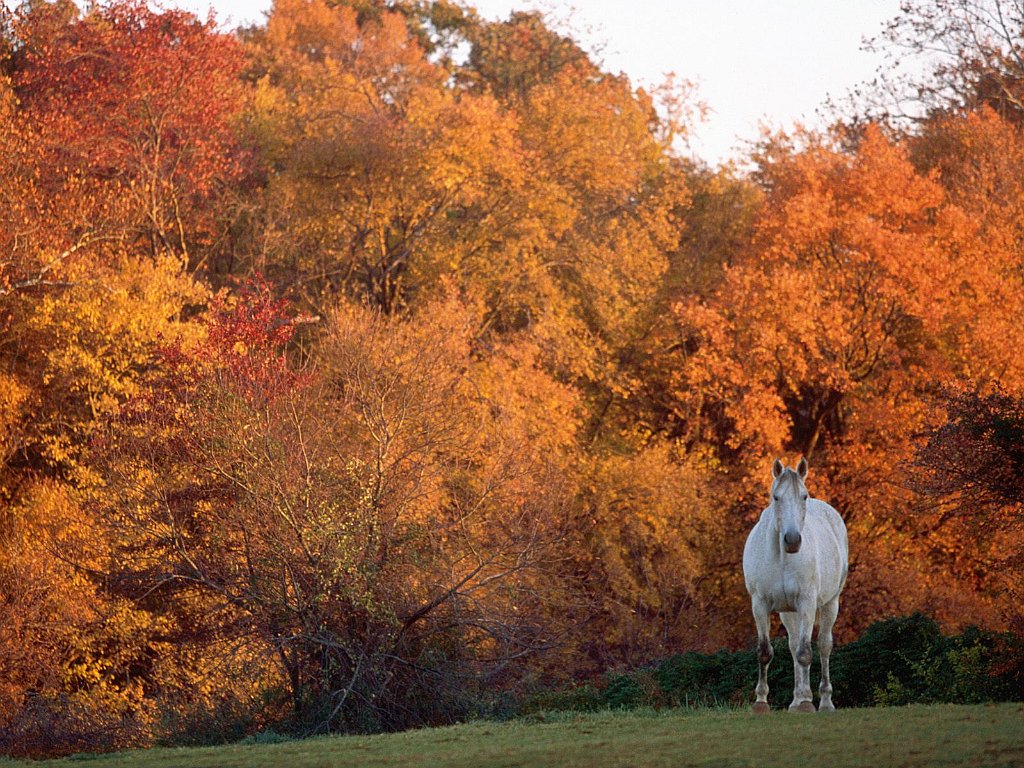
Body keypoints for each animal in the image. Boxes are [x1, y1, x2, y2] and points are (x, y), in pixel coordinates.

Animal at [745, 456, 847, 716]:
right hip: (788, 611)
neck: (782, 556)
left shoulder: (807, 602)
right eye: (776, 497)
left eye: (803, 496)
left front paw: (808, 703)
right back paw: (796, 700)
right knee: (793, 646)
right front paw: (761, 702)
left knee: (823, 646)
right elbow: (765, 652)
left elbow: (805, 653)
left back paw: (823, 701)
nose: (792, 540)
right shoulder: (760, 604)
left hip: (830, 603)